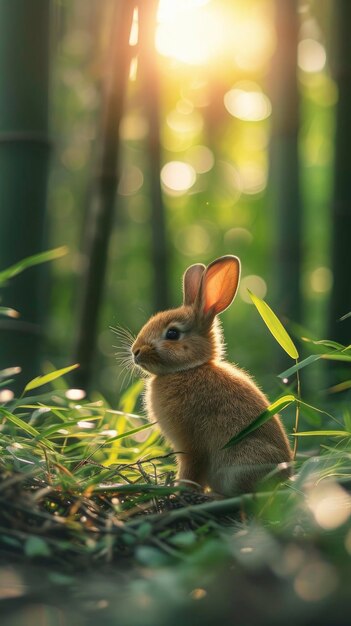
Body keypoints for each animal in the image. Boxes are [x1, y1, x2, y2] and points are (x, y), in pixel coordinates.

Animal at [131, 254, 292, 492]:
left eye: (172, 334)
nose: (135, 351)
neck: (190, 368)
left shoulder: (191, 446)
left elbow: (191, 469)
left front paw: (179, 491)